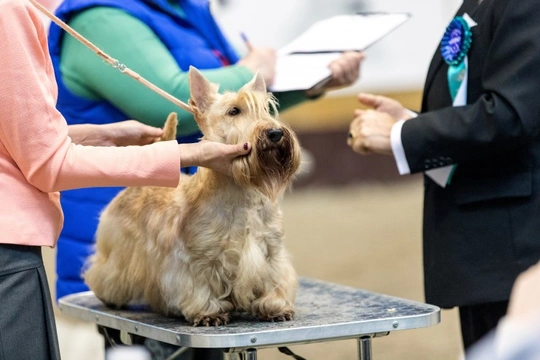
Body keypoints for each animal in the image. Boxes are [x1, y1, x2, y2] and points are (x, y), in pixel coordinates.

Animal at [85, 65, 304, 326]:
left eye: (265, 109)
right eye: (234, 111)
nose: (275, 133)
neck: (242, 193)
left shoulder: (271, 250)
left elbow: (275, 279)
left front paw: (276, 307)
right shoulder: (199, 258)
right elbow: (199, 286)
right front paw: (209, 313)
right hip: (119, 252)